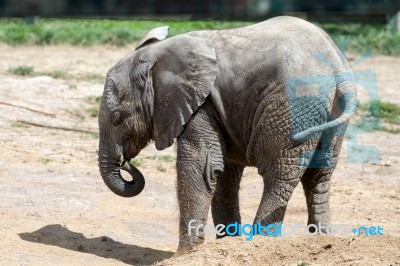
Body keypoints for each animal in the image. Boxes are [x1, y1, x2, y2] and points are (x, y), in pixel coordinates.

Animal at [97, 15, 356, 252]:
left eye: (117, 119)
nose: (126, 162)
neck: (159, 55)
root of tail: (338, 73)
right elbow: (222, 174)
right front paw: (226, 244)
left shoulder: (200, 104)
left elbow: (202, 167)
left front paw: (185, 254)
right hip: (324, 118)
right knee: (318, 176)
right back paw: (321, 240)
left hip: (293, 106)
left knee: (278, 173)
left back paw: (260, 243)